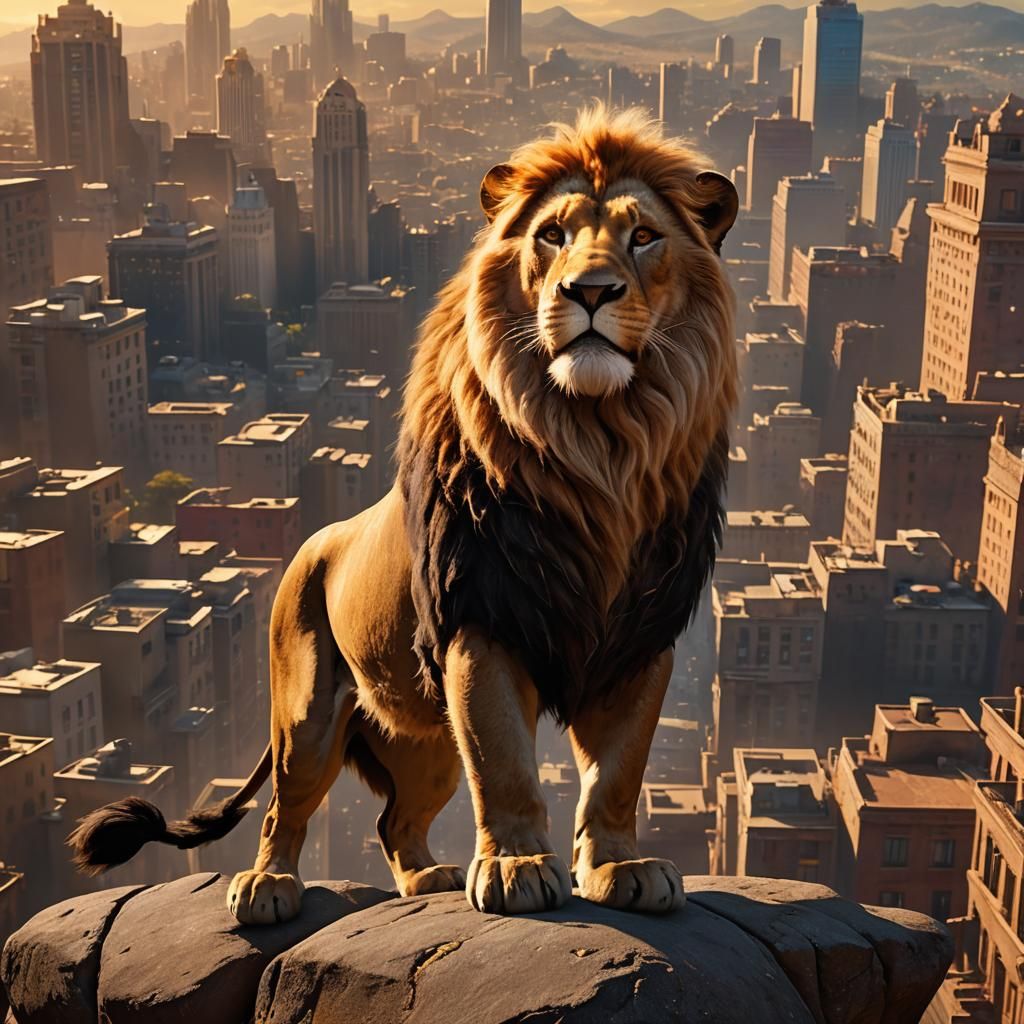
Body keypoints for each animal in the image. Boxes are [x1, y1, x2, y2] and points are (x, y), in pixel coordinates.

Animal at [69, 107, 738, 924]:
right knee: (283, 808)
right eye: (552, 234)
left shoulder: (641, 641)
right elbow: (507, 764)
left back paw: (429, 880)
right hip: (307, 715)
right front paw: (516, 867)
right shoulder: (482, 626)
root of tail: (308, 546)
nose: (590, 291)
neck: (596, 444)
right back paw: (267, 887)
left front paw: (620, 868)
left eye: (643, 236)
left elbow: (617, 774)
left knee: (396, 822)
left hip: (426, 742)